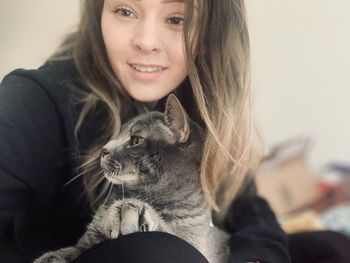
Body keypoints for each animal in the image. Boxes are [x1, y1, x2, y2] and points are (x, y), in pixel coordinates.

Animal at [34, 95, 228, 263]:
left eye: (135, 140)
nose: (104, 149)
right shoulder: (87, 241)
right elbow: (72, 250)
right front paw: (51, 257)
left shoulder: (195, 242)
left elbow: (170, 234)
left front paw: (131, 209)